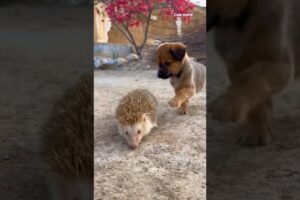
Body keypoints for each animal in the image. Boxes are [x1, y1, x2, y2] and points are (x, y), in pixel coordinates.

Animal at [209, 0, 298, 145]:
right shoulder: (235, 63)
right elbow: (256, 101)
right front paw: (254, 132)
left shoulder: (279, 62)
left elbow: (250, 78)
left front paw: (225, 104)